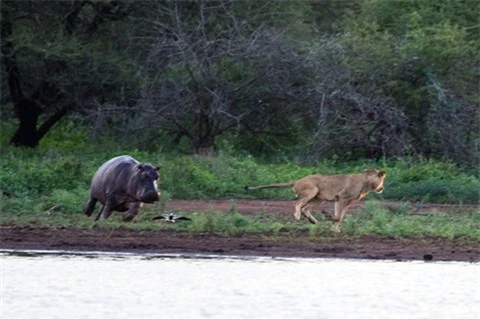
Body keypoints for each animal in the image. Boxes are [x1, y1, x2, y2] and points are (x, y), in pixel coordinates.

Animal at [246, 170, 388, 232]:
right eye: (382, 179)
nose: (382, 188)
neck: (366, 183)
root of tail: (297, 181)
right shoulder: (342, 197)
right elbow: (338, 216)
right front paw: (328, 217)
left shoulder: (347, 201)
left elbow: (340, 217)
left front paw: (334, 228)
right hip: (312, 191)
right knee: (297, 203)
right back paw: (297, 216)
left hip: (318, 199)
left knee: (305, 208)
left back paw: (312, 220)